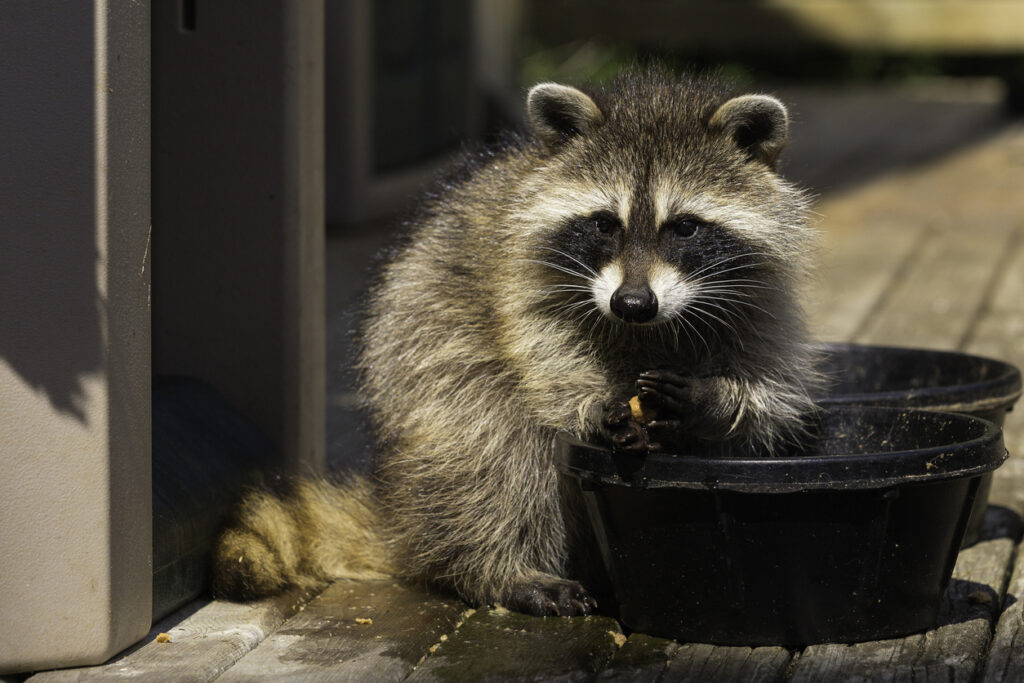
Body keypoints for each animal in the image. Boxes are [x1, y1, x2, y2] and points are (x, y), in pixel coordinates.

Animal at [211, 70, 819, 618]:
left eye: (685, 227)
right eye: (605, 223)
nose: (632, 303)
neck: (647, 330)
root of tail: (398, 510)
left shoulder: (759, 298)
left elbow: (768, 399)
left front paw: (714, 401)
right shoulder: (520, 279)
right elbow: (539, 356)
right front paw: (592, 404)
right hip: (427, 362)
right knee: (493, 447)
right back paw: (500, 569)